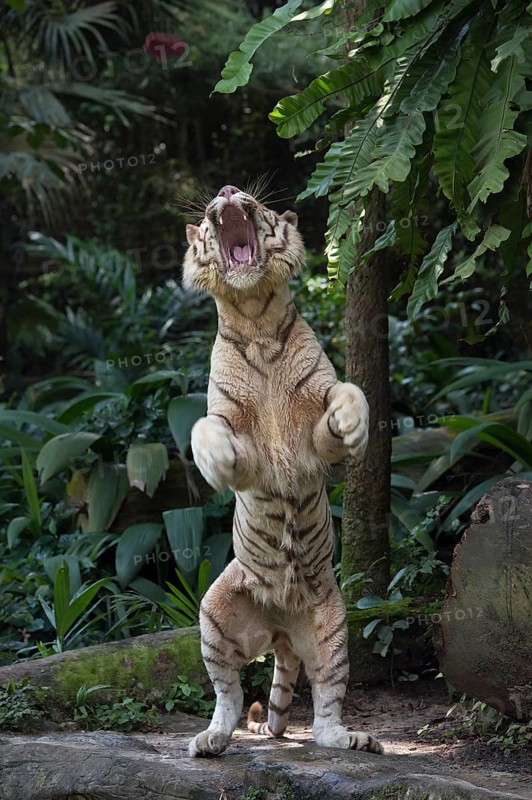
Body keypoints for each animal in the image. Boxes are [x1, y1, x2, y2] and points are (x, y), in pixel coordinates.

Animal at [182, 184, 383, 758]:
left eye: (257, 202)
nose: (227, 191)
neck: (255, 317)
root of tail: (279, 634)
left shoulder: (315, 434)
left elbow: (349, 392)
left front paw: (354, 425)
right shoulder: (244, 445)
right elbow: (205, 428)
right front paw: (213, 460)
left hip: (335, 627)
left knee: (325, 709)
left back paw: (353, 738)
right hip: (213, 614)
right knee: (227, 694)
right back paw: (210, 739)